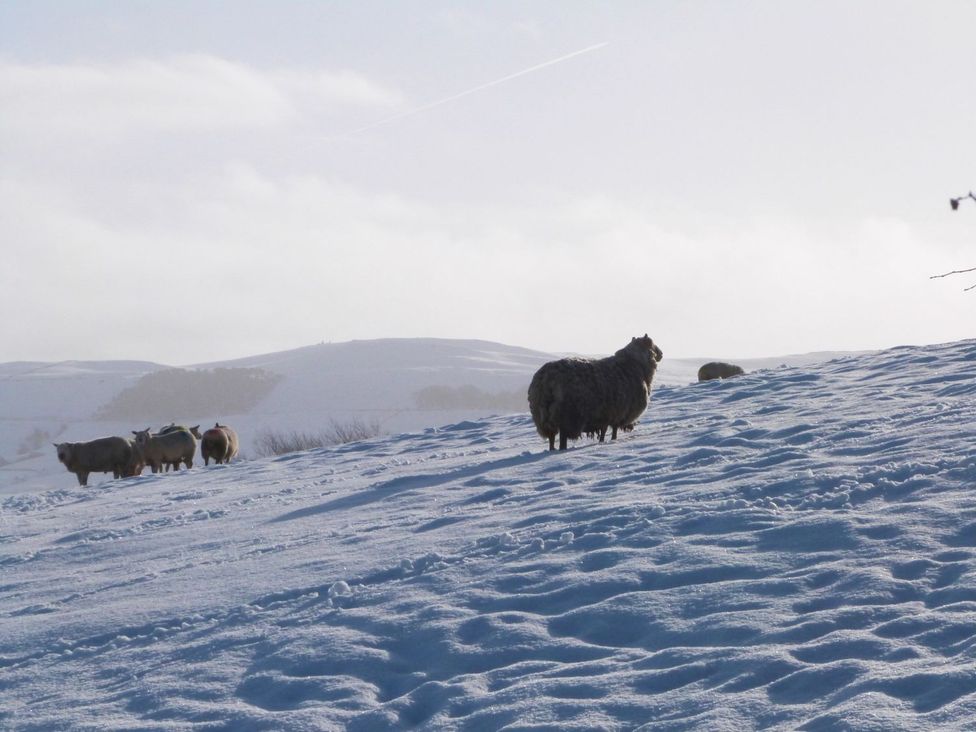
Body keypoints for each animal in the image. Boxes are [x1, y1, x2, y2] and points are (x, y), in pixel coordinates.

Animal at [528, 334, 664, 448]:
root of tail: (545, 379)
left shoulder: (607, 415)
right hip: (567, 416)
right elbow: (612, 431)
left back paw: (552, 449)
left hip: (542, 417)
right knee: (562, 439)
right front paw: (612, 440)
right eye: (651, 343)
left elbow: (604, 432)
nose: (662, 354)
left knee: (551, 438)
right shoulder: (618, 412)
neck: (636, 363)